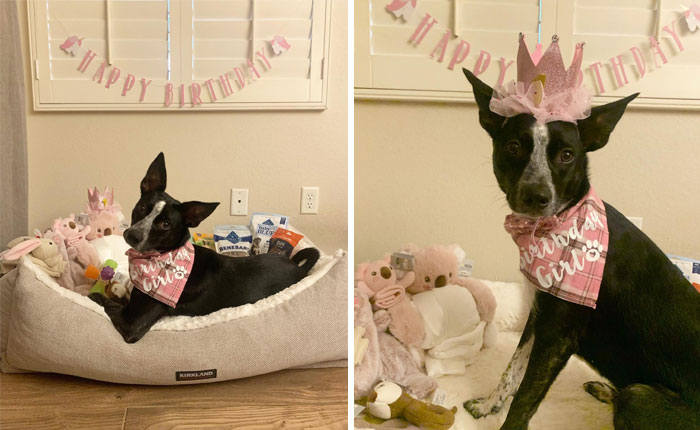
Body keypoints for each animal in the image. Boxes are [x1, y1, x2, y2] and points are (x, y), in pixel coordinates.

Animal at [89, 153, 318, 344]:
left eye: (166, 224)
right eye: (143, 207)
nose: (132, 235)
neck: (164, 255)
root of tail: (299, 268)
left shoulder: (132, 323)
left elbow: (99, 299)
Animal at [462, 70, 696, 430]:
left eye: (567, 155)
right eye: (513, 147)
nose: (536, 196)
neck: (557, 227)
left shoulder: (557, 337)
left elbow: (524, 400)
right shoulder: (539, 315)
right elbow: (512, 370)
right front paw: (488, 405)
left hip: (639, 395)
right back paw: (605, 391)